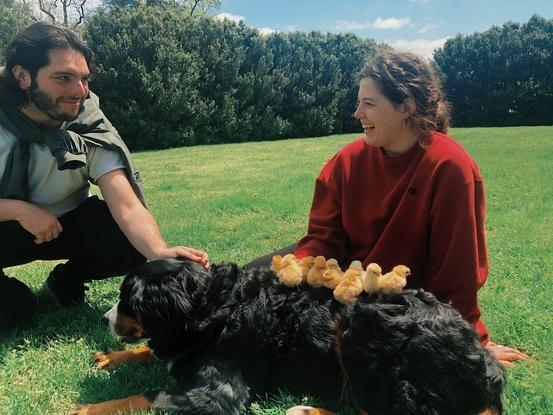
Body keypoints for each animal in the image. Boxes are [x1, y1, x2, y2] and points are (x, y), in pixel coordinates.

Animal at [69, 258, 504, 414]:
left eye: (127, 300)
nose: (105, 319)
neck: (211, 309)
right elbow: (154, 354)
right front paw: (112, 357)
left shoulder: (218, 394)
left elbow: (146, 396)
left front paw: (88, 408)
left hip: (359, 328)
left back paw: (307, 410)